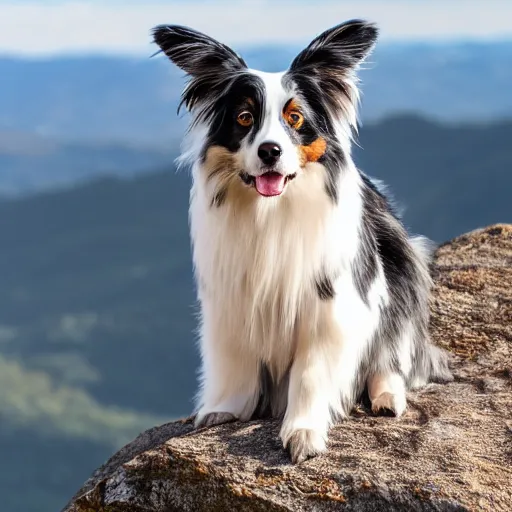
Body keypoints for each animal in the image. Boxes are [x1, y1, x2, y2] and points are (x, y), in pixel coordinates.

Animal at [152, 20, 452, 464]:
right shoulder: (230, 301)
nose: (270, 151)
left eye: (295, 118)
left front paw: (304, 433)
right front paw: (223, 408)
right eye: (244, 118)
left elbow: (312, 374)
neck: (271, 212)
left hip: (403, 266)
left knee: (394, 352)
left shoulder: (328, 306)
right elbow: (233, 360)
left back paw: (386, 397)